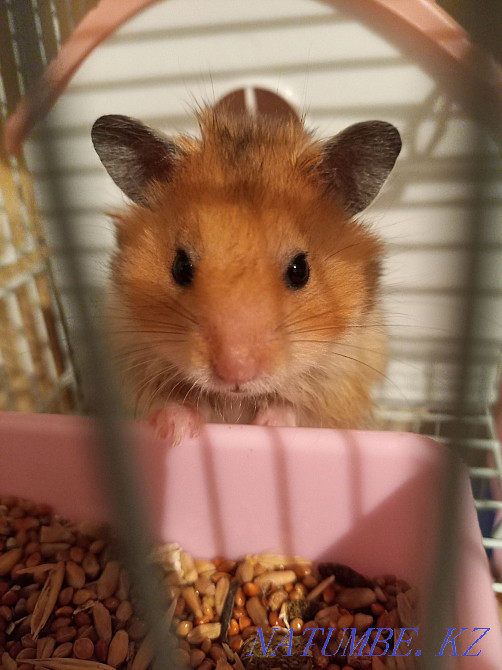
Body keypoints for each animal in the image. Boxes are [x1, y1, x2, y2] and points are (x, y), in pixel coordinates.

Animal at [91, 106, 401, 445]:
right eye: (181, 267)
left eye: (300, 270)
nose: (235, 376)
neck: (236, 398)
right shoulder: (129, 359)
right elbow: (168, 400)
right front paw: (179, 432)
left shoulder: (342, 381)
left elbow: (293, 408)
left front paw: (268, 424)